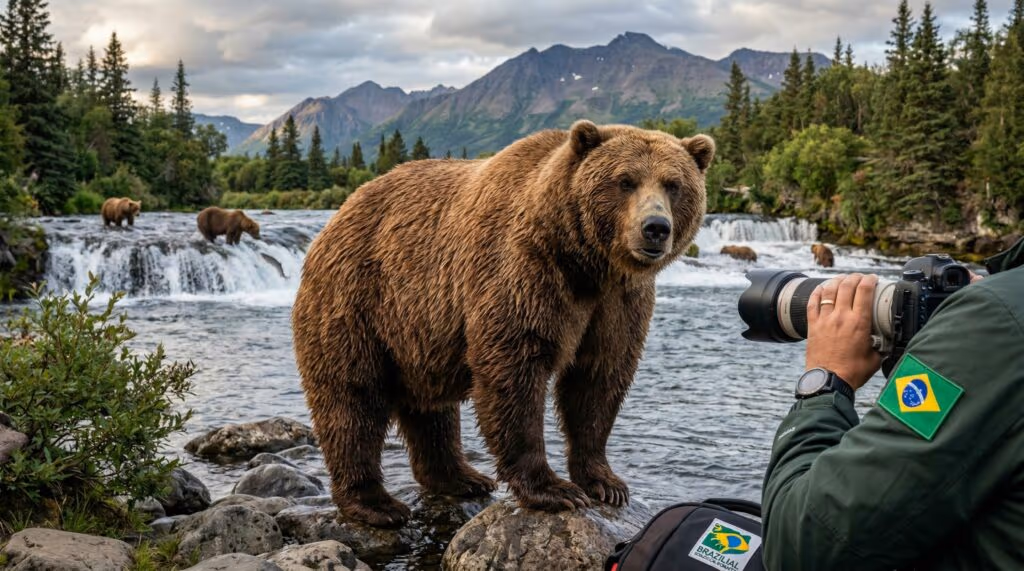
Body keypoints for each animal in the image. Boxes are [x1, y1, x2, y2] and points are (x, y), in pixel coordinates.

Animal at [292, 120, 714, 527]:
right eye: (625, 180)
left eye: (673, 184)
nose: (655, 227)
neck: (587, 264)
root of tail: (336, 218)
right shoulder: (524, 272)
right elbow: (515, 371)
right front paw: (553, 489)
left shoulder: (619, 303)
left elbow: (598, 379)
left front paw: (605, 482)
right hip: (358, 302)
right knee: (352, 399)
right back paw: (376, 503)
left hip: (417, 332)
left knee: (430, 410)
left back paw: (461, 477)